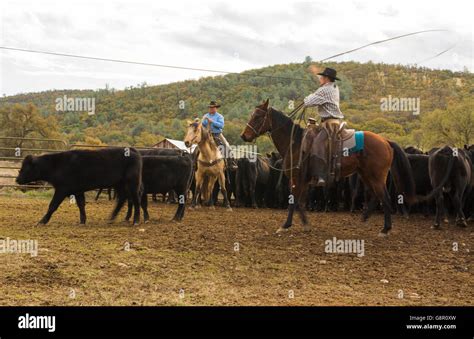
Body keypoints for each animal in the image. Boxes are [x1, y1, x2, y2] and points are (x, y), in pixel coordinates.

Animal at [243, 99, 416, 235]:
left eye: (258, 116)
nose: (244, 136)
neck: (296, 142)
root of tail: (386, 141)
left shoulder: (297, 178)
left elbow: (294, 201)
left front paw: (285, 226)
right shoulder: (303, 181)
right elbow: (300, 202)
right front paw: (305, 225)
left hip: (377, 176)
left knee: (384, 198)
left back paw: (385, 229)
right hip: (366, 174)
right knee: (375, 196)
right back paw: (365, 218)